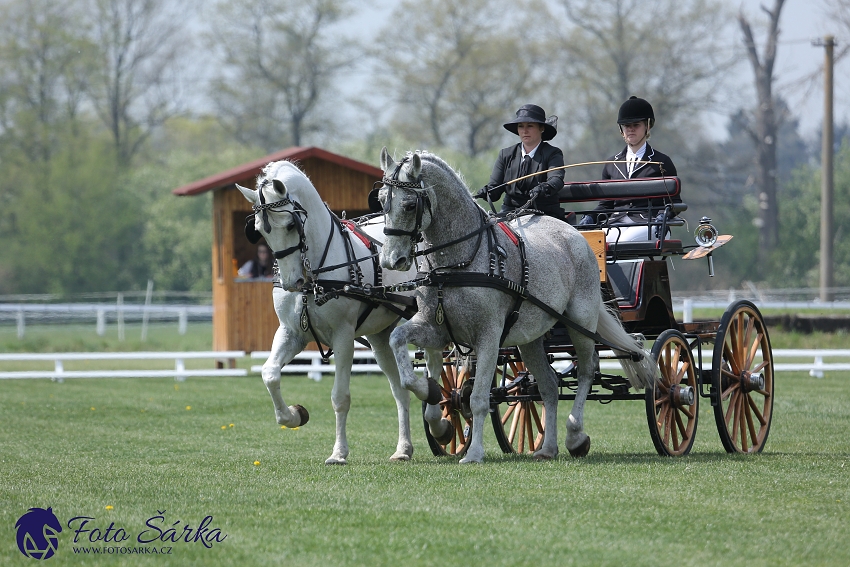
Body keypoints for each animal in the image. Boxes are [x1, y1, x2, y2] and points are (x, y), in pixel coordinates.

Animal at [235, 161, 440, 466]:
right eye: (259, 230)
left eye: (290, 224)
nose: (291, 282)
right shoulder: (291, 333)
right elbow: (269, 374)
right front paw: (294, 415)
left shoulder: (343, 336)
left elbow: (339, 397)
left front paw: (338, 453)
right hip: (382, 337)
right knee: (400, 390)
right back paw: (403, 448)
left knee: (436, 365)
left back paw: (439, 417)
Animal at [374, 150, 660, 466]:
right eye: (381, 200)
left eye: (410, 204)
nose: (390, 260)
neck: (459, 261)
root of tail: (575, 236)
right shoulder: (437, 329)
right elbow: (403, 354)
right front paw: (436, 408)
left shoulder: (488, 336)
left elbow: (478, 398)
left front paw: (473, 453)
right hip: (531, 339)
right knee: (549, 385)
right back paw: (547, 448)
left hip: (581, 322)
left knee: (586, 371)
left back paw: (575, 436)